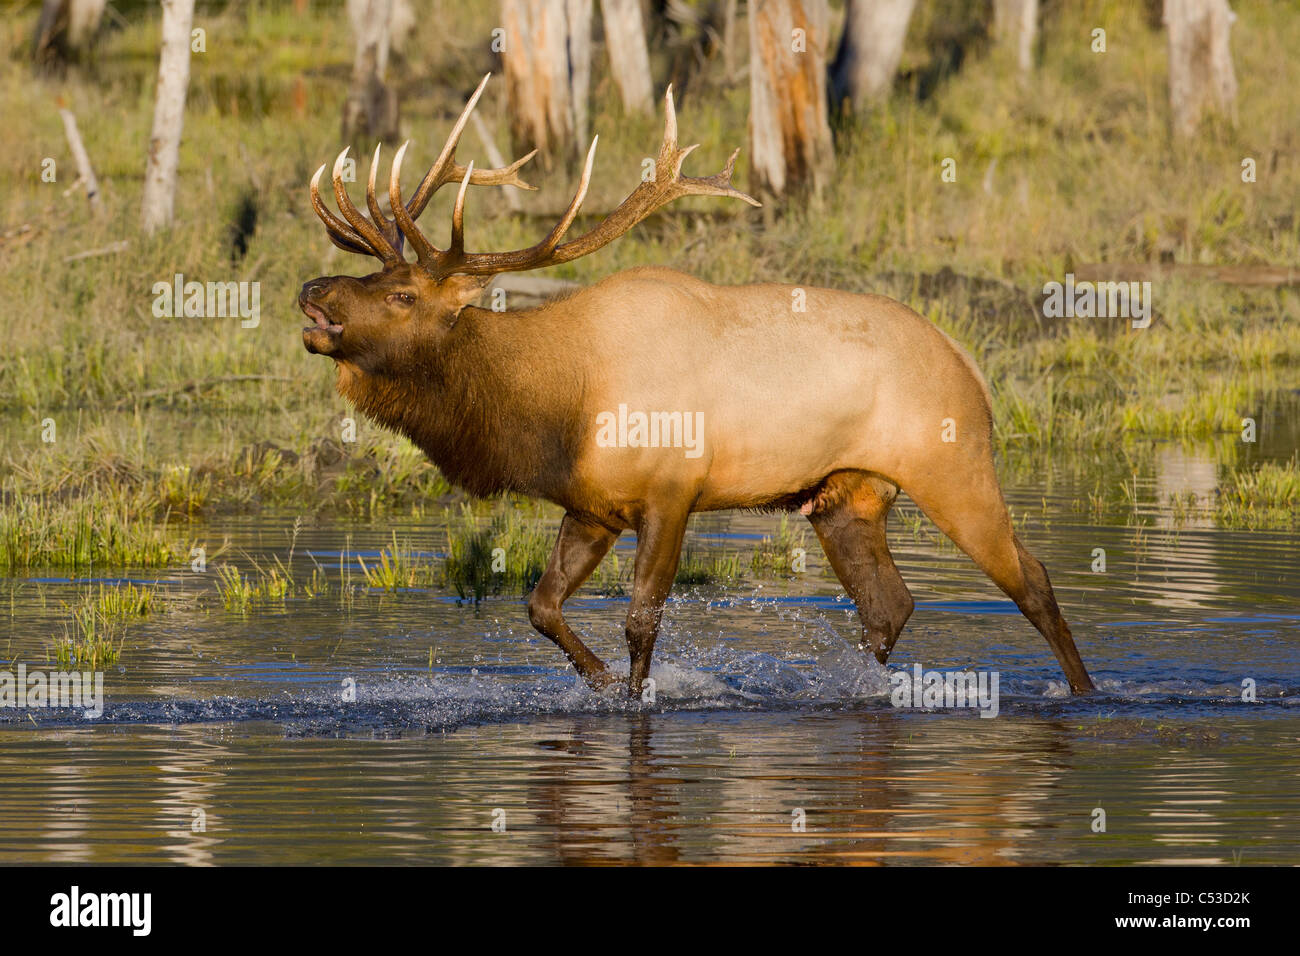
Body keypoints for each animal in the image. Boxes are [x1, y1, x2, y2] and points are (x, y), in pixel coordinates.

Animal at [300, 75, 1096, 699]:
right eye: (372, 274)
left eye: (403, 294)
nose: (313, 289)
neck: (555, 406)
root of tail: (969, 362)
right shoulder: (591, 504)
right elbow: (541, 607)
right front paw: (598, 684)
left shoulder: (671, 491)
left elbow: (641, 619)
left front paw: (634, 699)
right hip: (846, 496)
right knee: (890, 605)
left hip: (951, 464)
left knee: (1032, 580)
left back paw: (1086, 693)